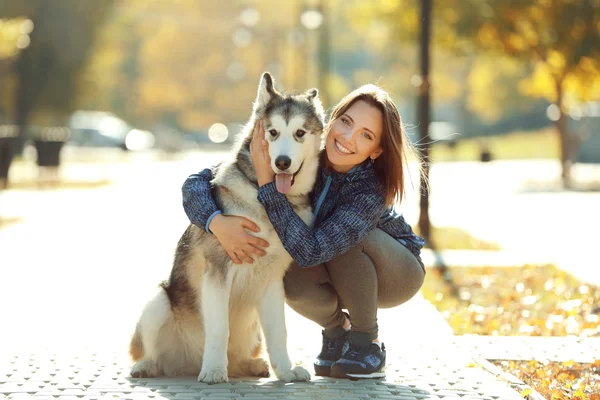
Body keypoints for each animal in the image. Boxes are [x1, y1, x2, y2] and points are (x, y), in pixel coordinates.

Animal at [130, 72, 324, 384]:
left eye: (299, 133)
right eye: (272, 132)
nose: (282, 162)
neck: (266, 200)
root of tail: (186, 363)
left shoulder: (272, 279)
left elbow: (279, 332)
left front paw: (285, 370)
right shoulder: (218, 271)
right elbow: (220, 328)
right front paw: (213, 371)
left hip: (252, 327)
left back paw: (250, 365)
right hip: (158, 302)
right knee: (154, 352)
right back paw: (151, 365)